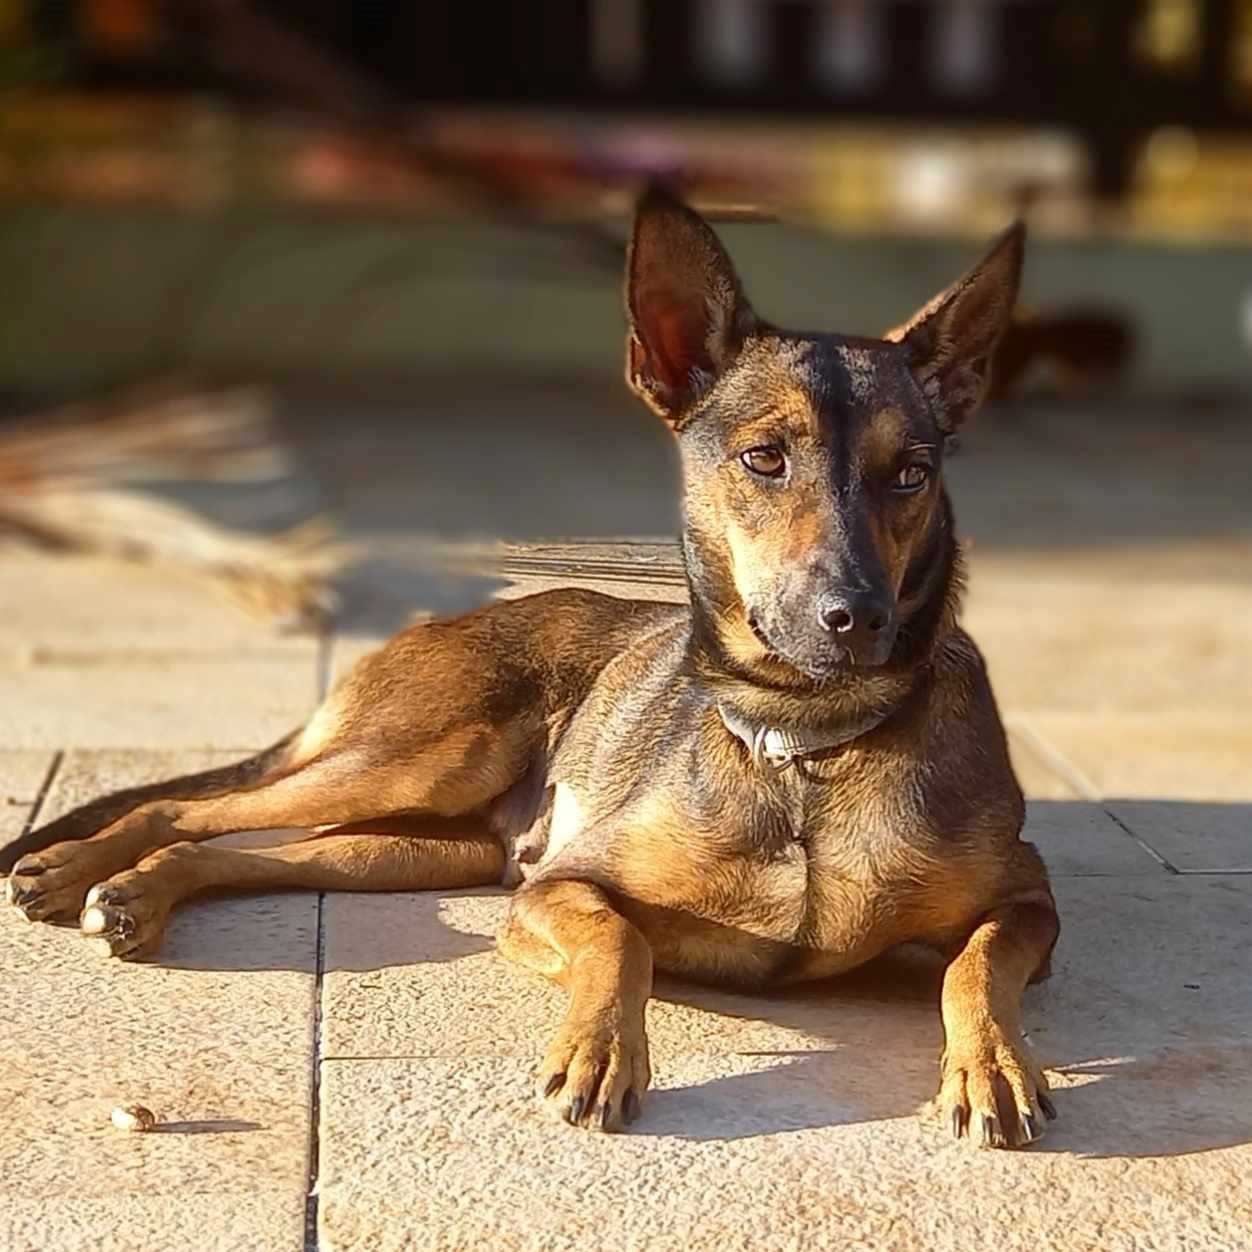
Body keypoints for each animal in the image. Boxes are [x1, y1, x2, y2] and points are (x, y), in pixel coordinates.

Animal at [2, 181, 1056, 1146]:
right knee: (189, 808)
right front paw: (600, 1048)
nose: (858, 619)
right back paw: (73, 870)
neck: (807, 748)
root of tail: (444, 621)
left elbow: (974, 963)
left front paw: (995, 1063)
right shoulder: (554, 889)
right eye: (765, 459)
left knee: (240, 847)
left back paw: (137, 892)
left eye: (912, 474)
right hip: (425, 757)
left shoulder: (1027, 904)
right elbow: (620, 940)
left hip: (423, 840)